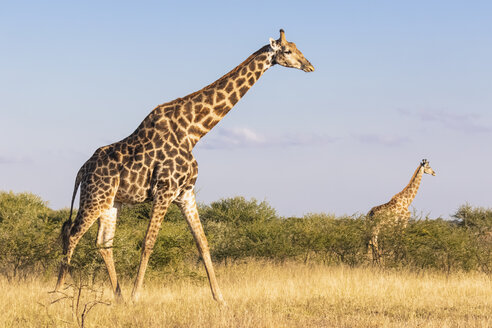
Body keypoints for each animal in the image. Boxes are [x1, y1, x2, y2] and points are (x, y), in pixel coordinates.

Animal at [54, 29, 316, 304]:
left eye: (297, 47)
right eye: (287, 50)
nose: (309, 66)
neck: (193, 131)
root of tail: (82, 170)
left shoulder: (185, 193)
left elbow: (203, 243)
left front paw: (220, 299)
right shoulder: (165, 190)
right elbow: (148, 242)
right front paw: (136, 297)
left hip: (111, 202)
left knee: (103, 243)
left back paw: (118, 297)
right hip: (94, 197)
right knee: (73, 234)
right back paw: (58, 293)